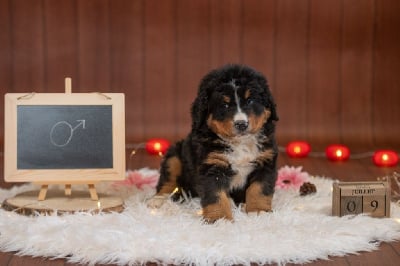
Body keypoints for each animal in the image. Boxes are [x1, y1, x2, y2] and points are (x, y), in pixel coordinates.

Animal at [147, 64, 278, 222]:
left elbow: (259, 189)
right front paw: (220, 219)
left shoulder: (265, 161)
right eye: (225, 105)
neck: (239, 143)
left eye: (250, 100)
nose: (241, 124)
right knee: (168, 181)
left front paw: (258, 211)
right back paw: (158, 200)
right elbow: (216, 196)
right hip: (174, 157)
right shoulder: (212, 166)